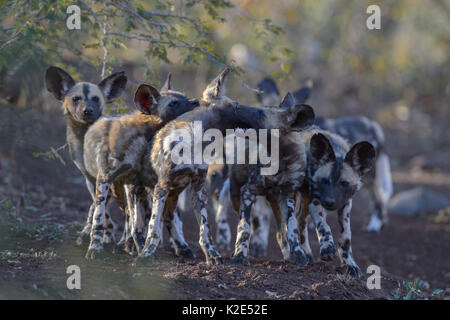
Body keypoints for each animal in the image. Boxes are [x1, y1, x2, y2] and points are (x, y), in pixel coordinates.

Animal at [44, 67, 127, 248]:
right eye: (76, 99)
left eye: (96, 99)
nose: (87, 110)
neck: (84, 136)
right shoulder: (90, 178)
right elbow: (100, 209)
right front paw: (105, 236)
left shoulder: (105, 177)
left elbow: (100, 210)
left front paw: (100, 240)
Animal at [82, 75, 199, 260]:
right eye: (173, 103)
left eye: (185, 97)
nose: (196, 102)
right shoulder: (107, 179)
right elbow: (99, 218)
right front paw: (95, 248)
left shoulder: (135, 183)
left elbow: (139, 222)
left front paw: (139, 246)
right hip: (113, 189)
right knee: (106, 210)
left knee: (149, 216)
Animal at [139, 68, 312, 264]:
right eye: (236, 106)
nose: (251, 108)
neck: (195, 141)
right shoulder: (162, 186)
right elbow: (153, 227)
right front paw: (146, 253)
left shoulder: (198, 189)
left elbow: (205, 230)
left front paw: (212, 254)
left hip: (176, 194)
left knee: (171, 218)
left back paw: (181, 248)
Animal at [298, 129, 376, 276]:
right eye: (325, 181)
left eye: (344, 183)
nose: (329, 202)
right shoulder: (315, 201)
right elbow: (323, 226)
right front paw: (328, 249)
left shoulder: (346, 204)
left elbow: (346, 237)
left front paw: (350, 264)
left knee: (300, 225)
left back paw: (306, 255)